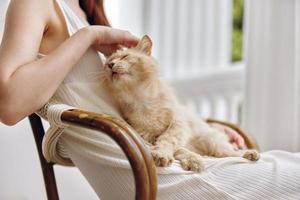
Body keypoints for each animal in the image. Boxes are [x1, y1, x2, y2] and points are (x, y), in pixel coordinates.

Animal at [101, 35, 260, 171]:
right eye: (107, 63)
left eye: (125, 56)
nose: (110, 65)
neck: (140, 99)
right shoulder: (148, 136)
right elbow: (180, 149)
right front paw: (190, 161)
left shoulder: (178, 124)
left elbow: (168, 140)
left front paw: (164, 154)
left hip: (212, 141)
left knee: (229, 152)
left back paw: (250, 154)